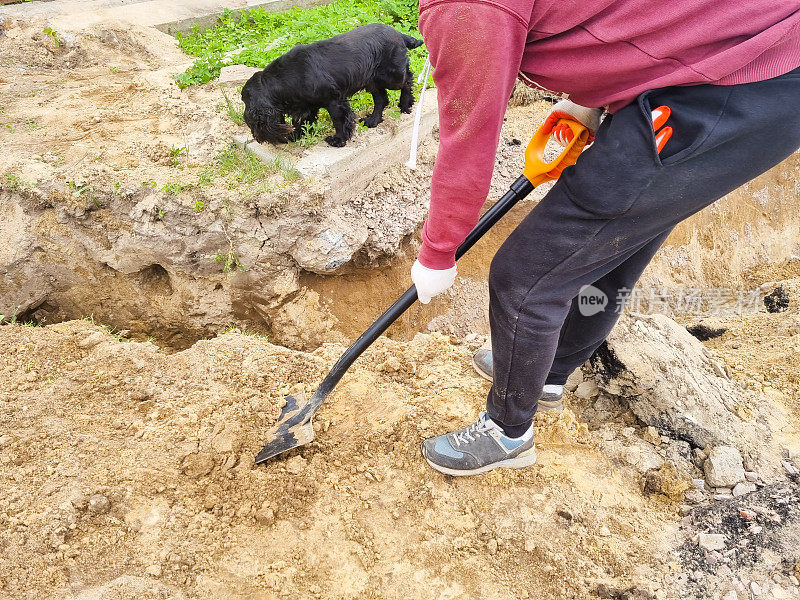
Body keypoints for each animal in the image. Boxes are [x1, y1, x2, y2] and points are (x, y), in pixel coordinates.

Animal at [241, 23, 424, 148]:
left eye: (245, 102)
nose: (256, 136)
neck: (282, 79)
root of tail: (398, 33)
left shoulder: (334, 101)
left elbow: (339, 121)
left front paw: (338, 140)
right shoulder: (307, 105)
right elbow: (303, 123)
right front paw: (295, 136)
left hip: (391, 77)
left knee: (407, 80)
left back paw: (405, 104)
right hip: (372, 80)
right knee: (381, 99)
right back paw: (372, 120)